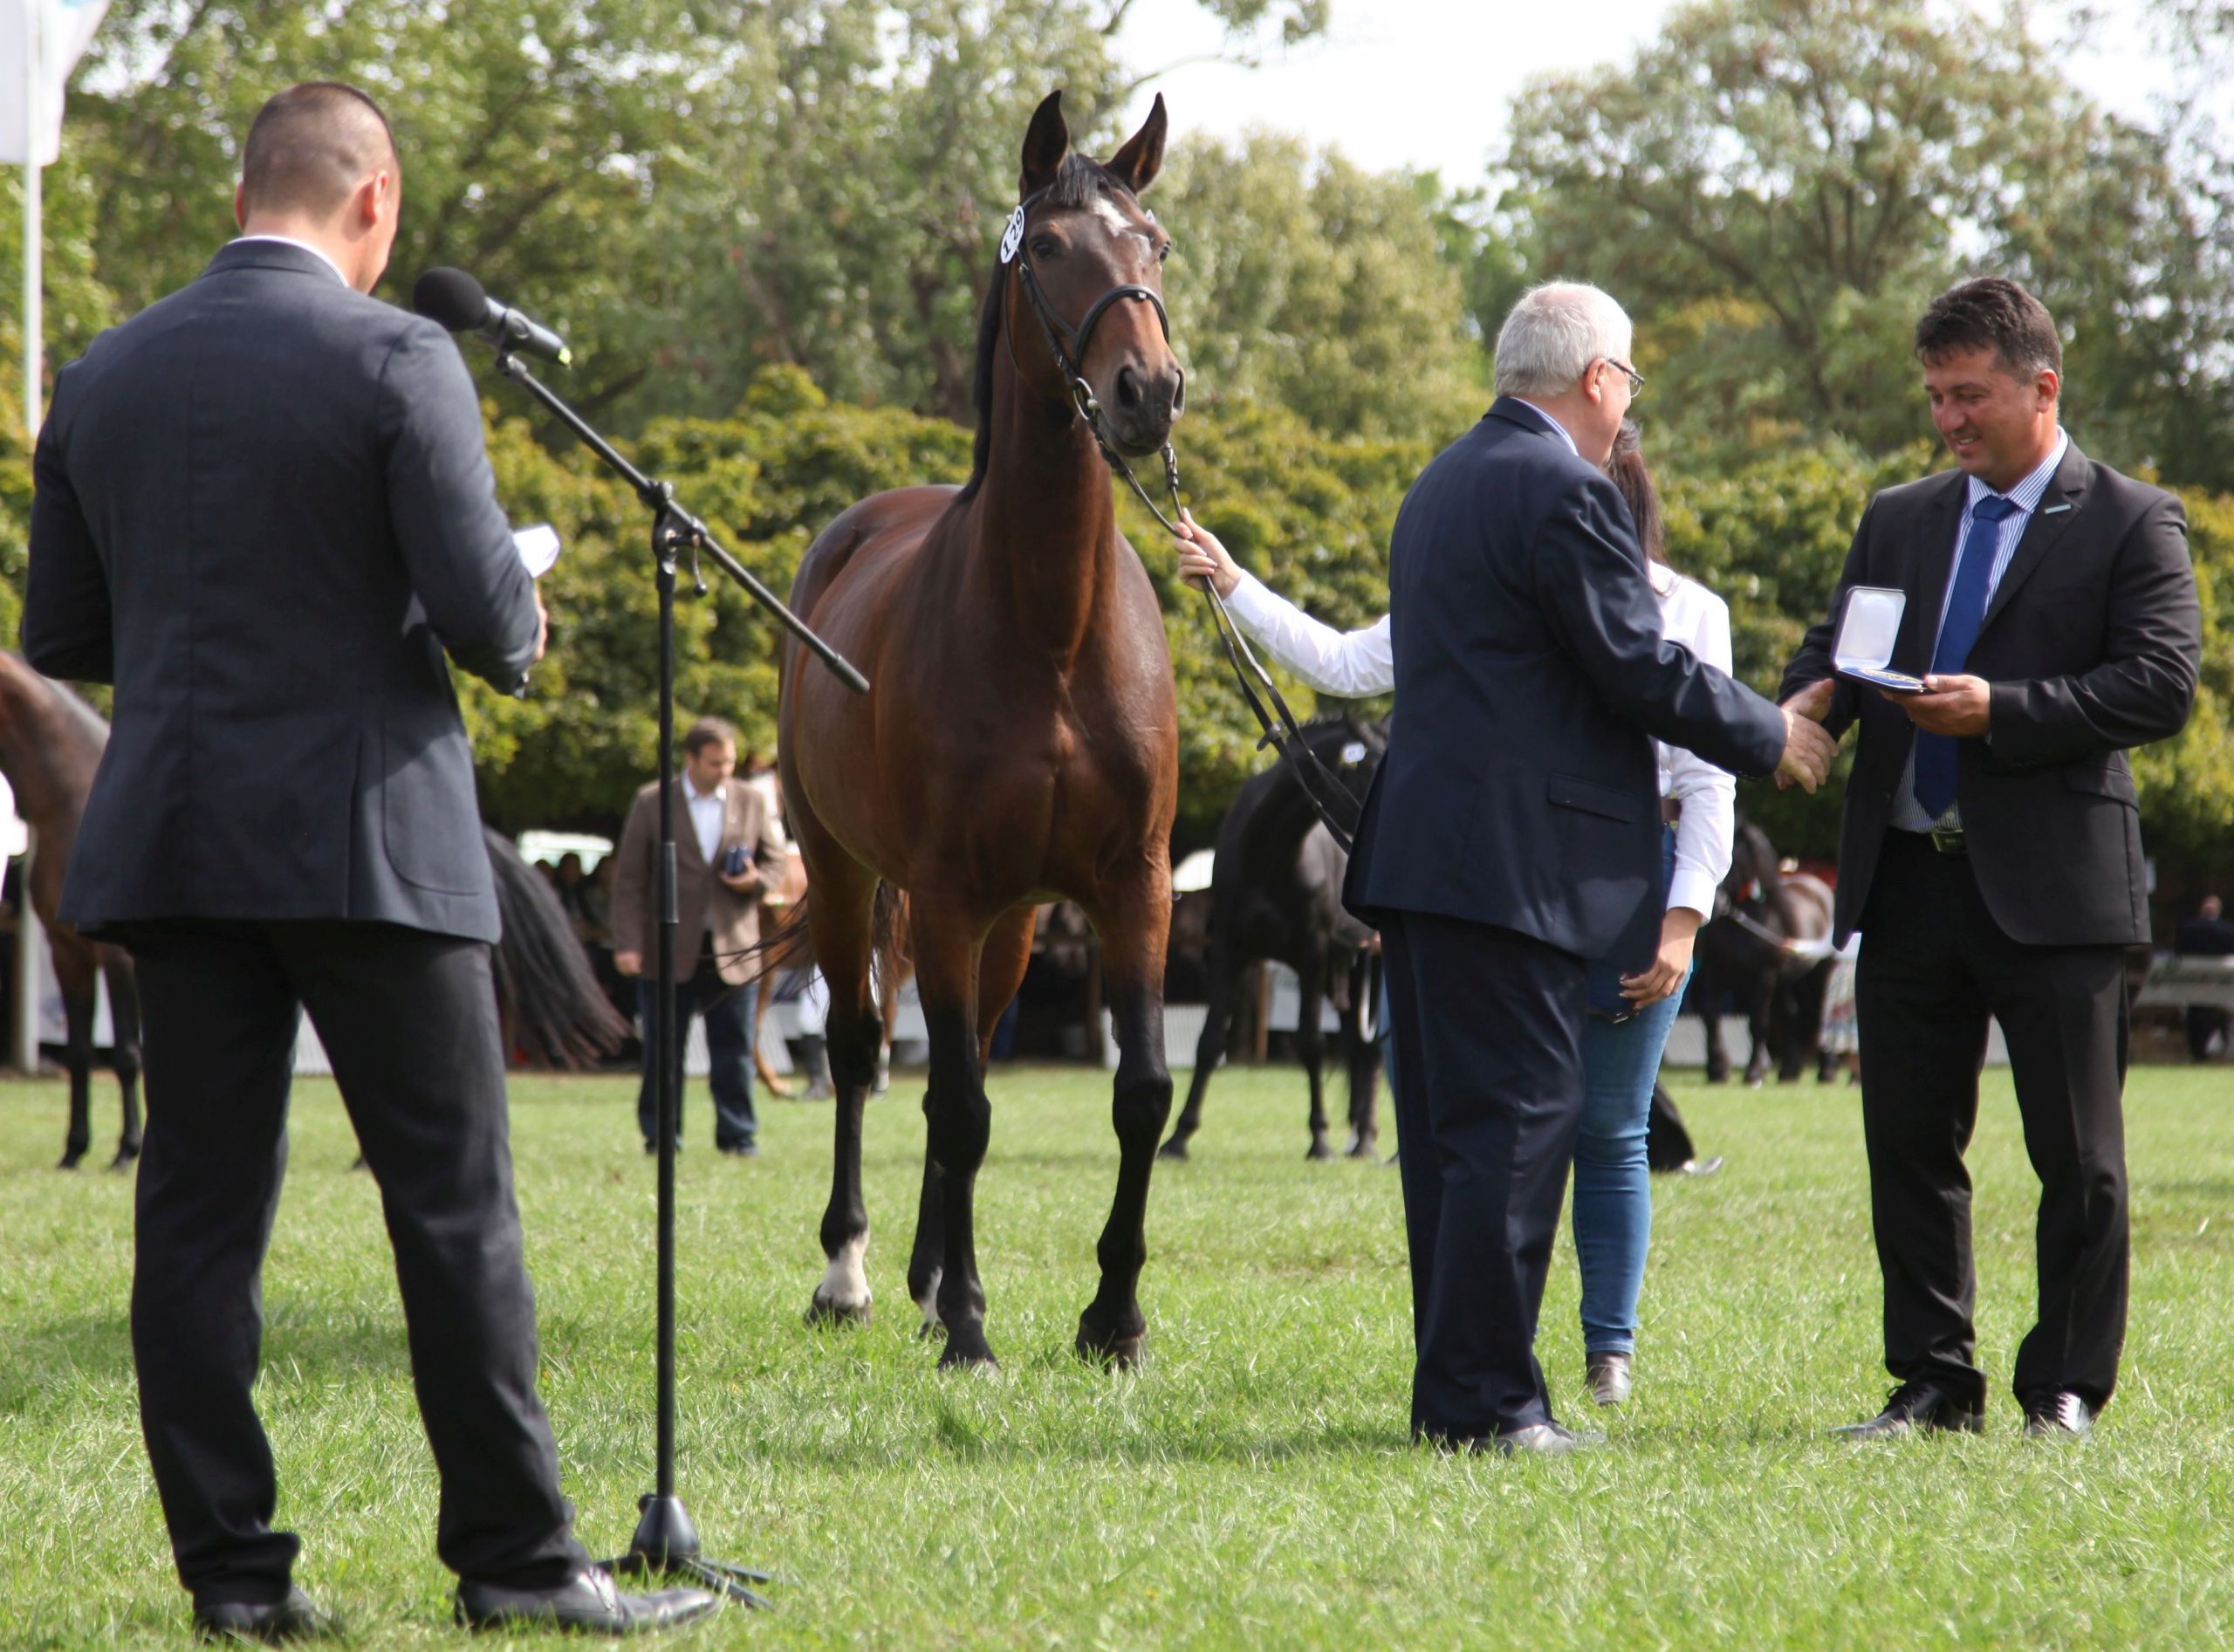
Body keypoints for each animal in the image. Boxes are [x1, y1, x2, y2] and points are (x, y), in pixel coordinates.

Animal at [0, 652, 144, 1171]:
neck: (71, 801)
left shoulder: (118, 957)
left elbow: (126, 1054)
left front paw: (126, 1151)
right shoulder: (69, 952)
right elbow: (80, 1053)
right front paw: (74, 1150)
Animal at [777, 90, 1188, 1368]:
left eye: (1156, 246)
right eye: (1047, 248)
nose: (1149, 390)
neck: (1050, 634)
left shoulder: (1132, 886)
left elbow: (1138, 1093)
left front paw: (1114, 1317)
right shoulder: (945, 887)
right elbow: (956, 1104)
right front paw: (967, 1324)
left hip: (1008, 925)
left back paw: (922, 1278)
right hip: (846, 871)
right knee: (864, 1052)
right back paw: (857, 1276)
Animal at [1162, 715, 1385, 1171]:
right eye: (1371, 770)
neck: (1270, 851)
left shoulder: (1312, 957)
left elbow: (1311, 1044)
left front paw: (1320, 1139)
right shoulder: (1230, 951)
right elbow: (1209, 1042)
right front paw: (1178, 1138)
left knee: (1370, 1054)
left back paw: (1365, 1140)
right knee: (1359, 1050)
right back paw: (1359, 1136)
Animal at [1689, 813, 1832, 1086]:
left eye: (1733, 858)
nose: (1714, 905)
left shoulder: (1764, 975)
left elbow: (1758, 1022)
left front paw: (1754, 1072)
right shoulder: (1715, 971)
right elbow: (1711, 1015)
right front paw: (1718, 1069)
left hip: (1819, 974)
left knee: (1821, 1014)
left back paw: (1826, 1071)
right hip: (1788, 981)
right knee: (1792, 1015)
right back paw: (1789, 1071)